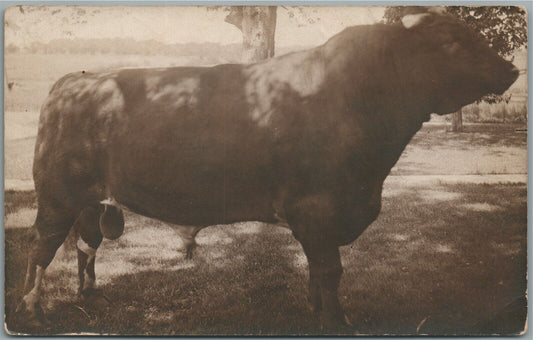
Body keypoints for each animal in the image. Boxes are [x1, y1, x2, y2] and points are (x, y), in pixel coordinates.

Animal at [16, 11, 516, 330]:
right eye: (451, 41)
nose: (511, 70)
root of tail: (77, 79)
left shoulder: (322, 218)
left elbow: (317, 270)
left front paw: (316, 311)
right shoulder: (318, 209)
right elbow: (331, 270)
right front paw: (336, 322)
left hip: (90, 201)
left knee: (86, 245)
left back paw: (90, 296)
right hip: (57, 197)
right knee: (41, 248)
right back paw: (32, 312)